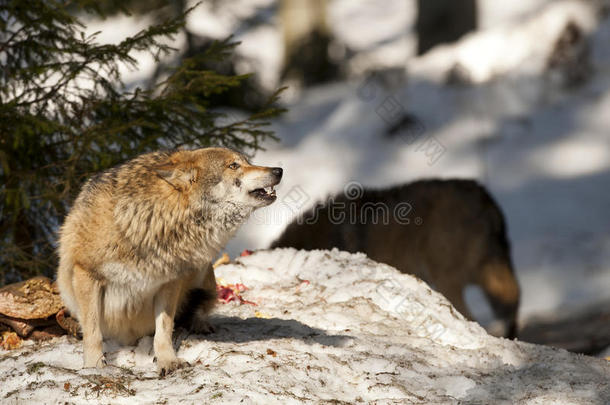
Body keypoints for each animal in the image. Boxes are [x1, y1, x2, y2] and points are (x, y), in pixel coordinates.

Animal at [58, 147, 282, 374]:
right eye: (233, 165)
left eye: (246, 161)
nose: (279, 170)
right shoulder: (86, 273)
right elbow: (93, 331)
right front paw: (94, 365)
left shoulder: (170, 281)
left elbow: (164, 329)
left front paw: (168, 361)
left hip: (202, 270)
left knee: (200, 307)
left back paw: (199, 324)